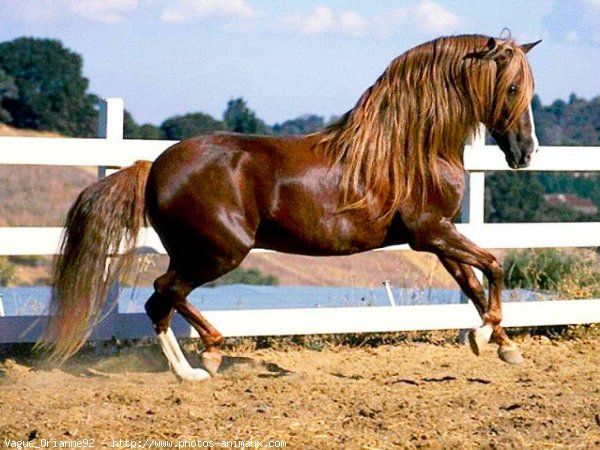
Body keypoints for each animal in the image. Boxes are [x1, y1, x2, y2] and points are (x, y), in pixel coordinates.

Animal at [42, 35, 540, 380]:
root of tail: (155, 166)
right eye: (514, 87)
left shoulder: (437, 236)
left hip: (195, 251)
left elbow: (473, 285)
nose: (526, 153)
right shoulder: (432, 231)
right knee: (163, 294)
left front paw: (502, 345)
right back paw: (205, 359)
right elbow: (493, 267)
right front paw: (486, 336)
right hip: (219, 252)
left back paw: (195, 364)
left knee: (162, 300)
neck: (409, 150)